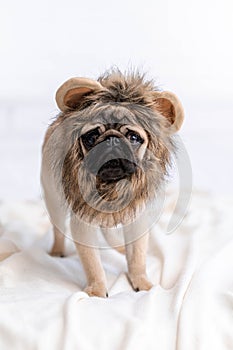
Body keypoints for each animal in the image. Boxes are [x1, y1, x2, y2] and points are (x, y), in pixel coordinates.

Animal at [41, 69, 184, 296]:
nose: (112, 140)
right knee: (58, 230)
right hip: (53, 201)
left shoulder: (137, 222)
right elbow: (92, 264)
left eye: (134, 137)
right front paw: (97, 289)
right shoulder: (82, 225)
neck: (111, 186)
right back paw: (56, 252)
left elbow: (137, 258)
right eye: (91, 136)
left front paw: (141, 282)